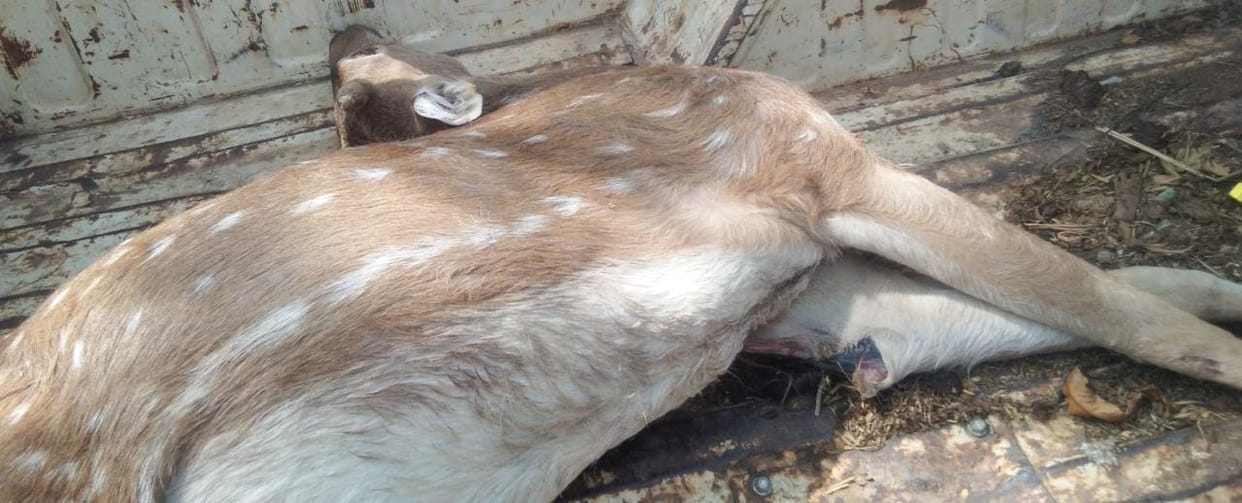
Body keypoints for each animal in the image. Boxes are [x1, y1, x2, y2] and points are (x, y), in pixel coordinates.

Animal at [328, 25, 1242, 397]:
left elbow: (1018, 305)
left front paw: (1219, 289)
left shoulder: (801, 270)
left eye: (359, 64)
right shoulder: (821, 161)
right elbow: (1097, 297)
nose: (343, 26)